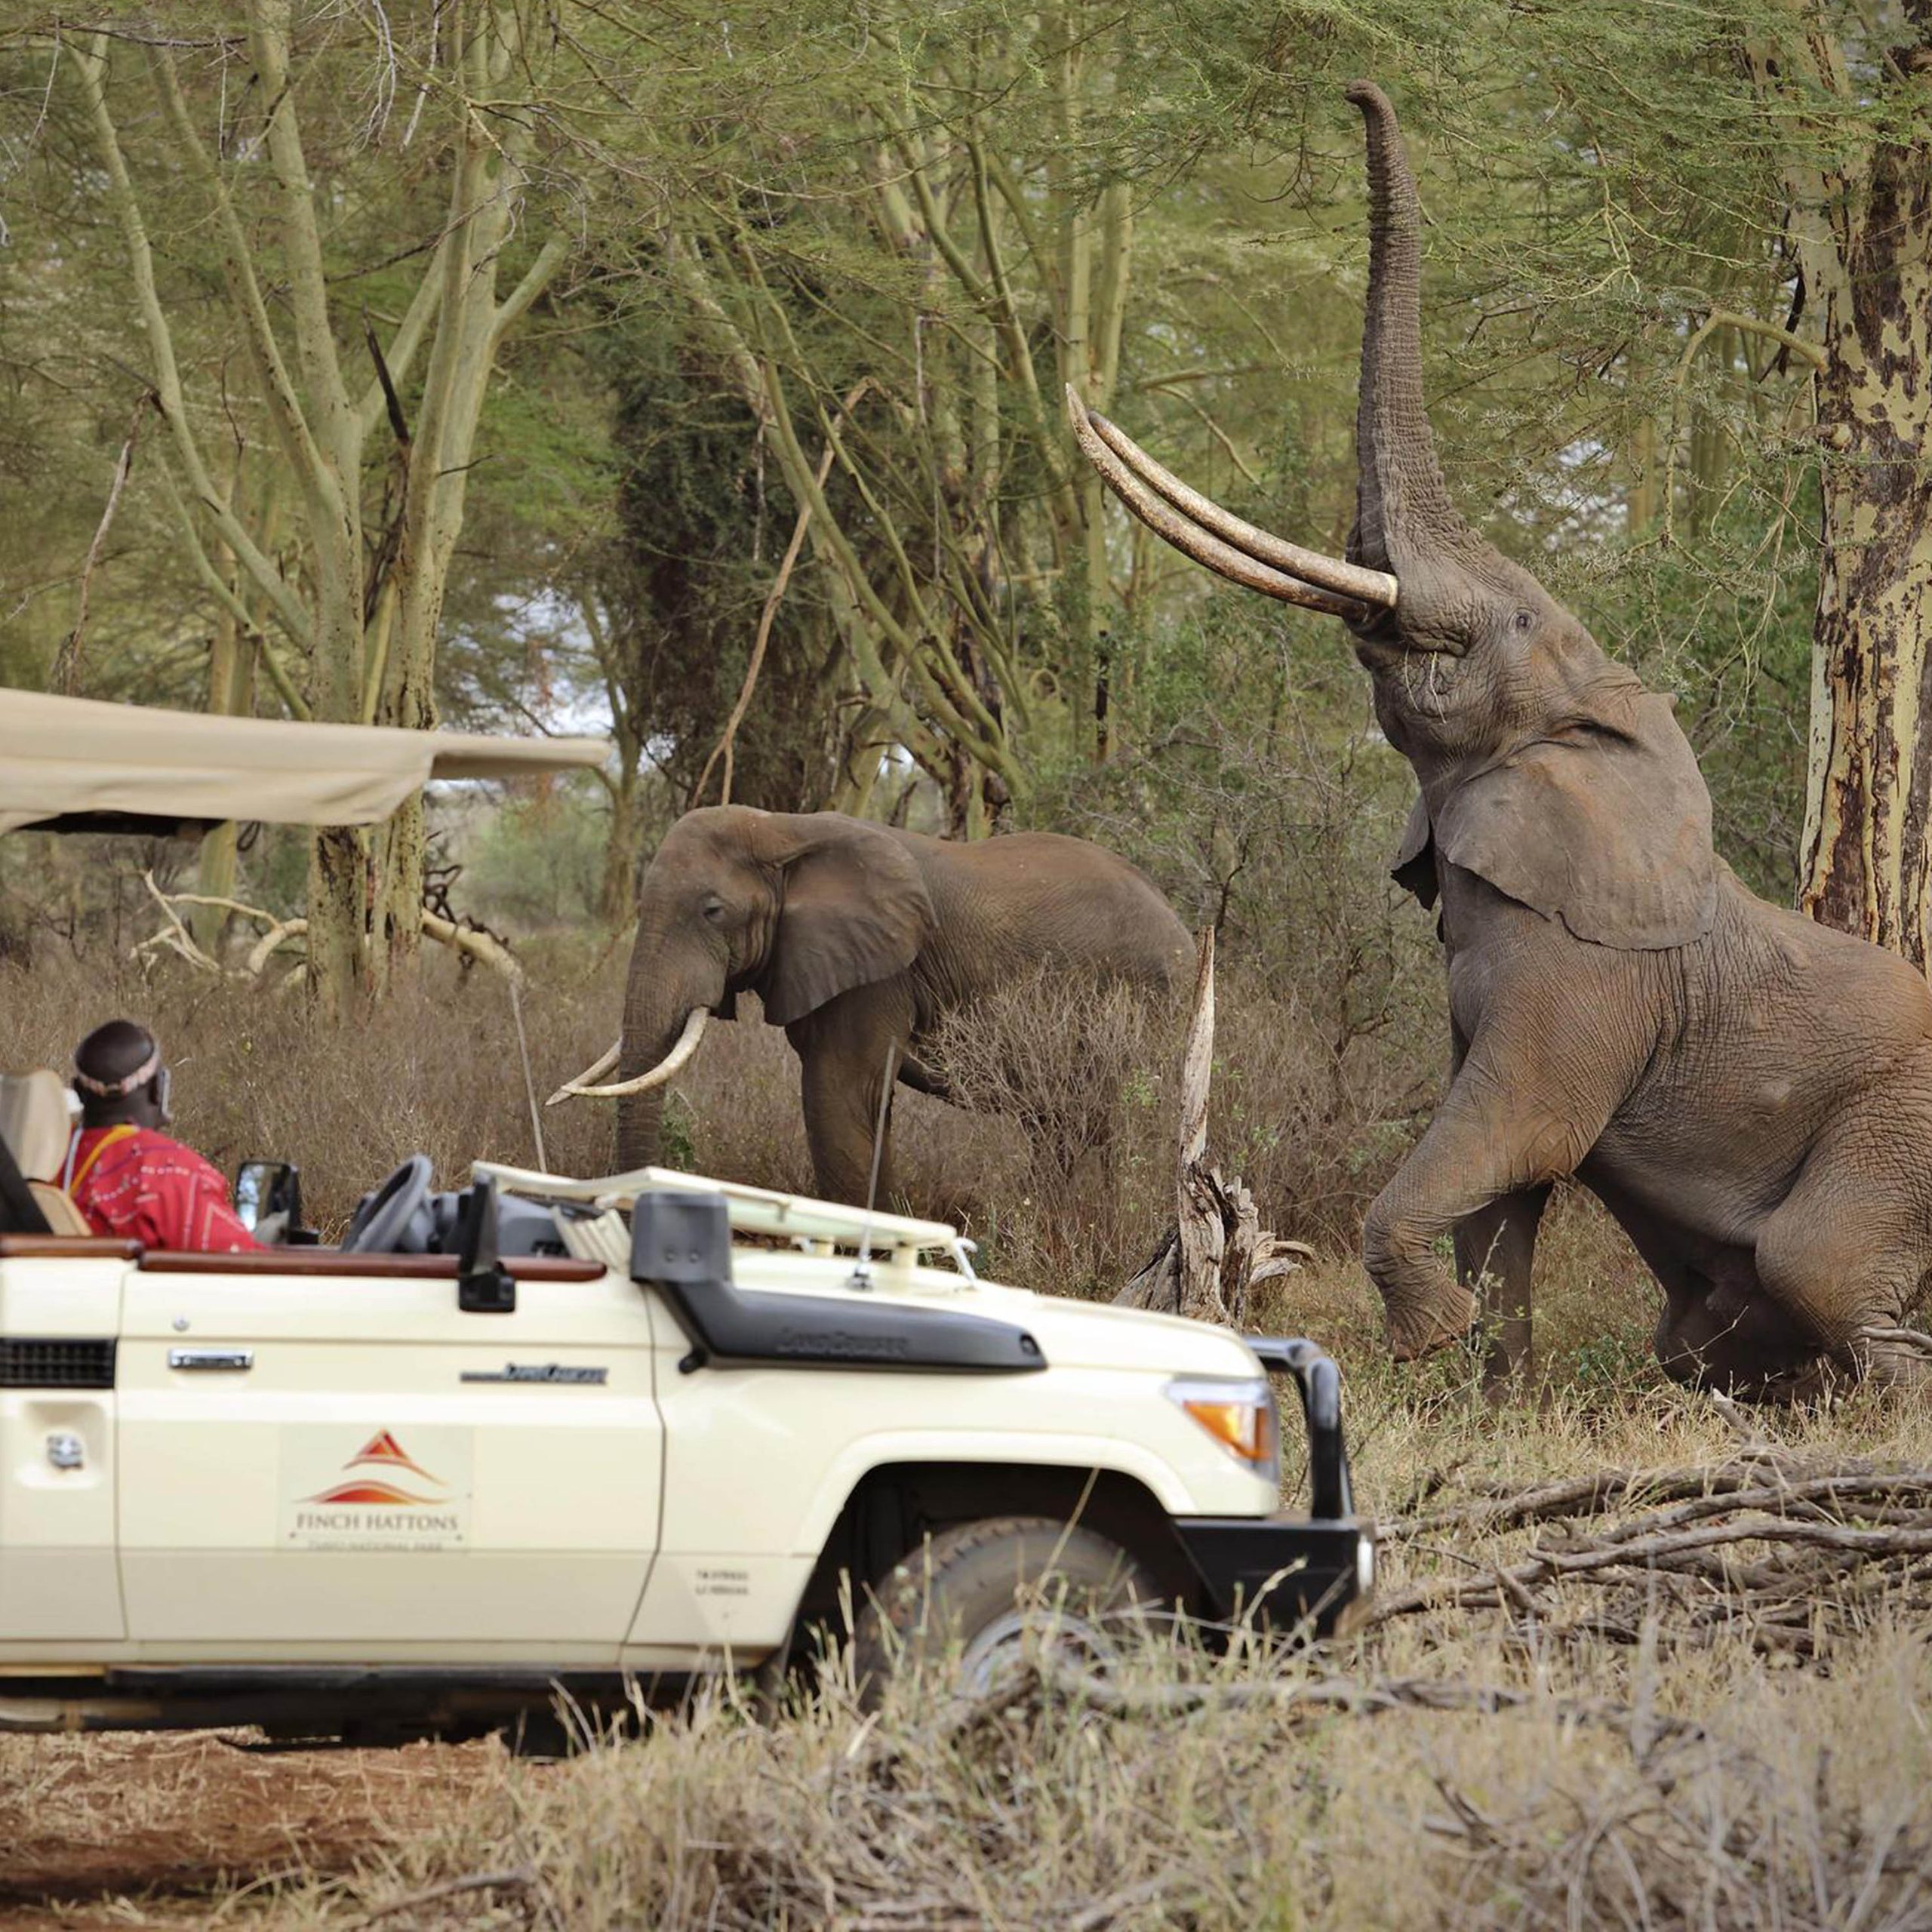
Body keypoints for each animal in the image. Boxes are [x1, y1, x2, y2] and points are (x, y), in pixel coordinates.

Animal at [552, 808, 1189, 1213]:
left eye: (713, 911)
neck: (782, 827)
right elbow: (861, 1104)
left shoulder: (881, 972)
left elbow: (837, 1093)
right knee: (1062, 1126)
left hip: (1148, 997)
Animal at [1074, 78, 1932, 1406]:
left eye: (1514, 622)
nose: (1358, 88)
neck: (1600, 735)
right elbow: (1499, 1193)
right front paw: (1490, 1387)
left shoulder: (1582, 980)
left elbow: (1516, 1132)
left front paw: (1429, 1343)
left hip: (1899, 1135)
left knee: (1817, 1265)